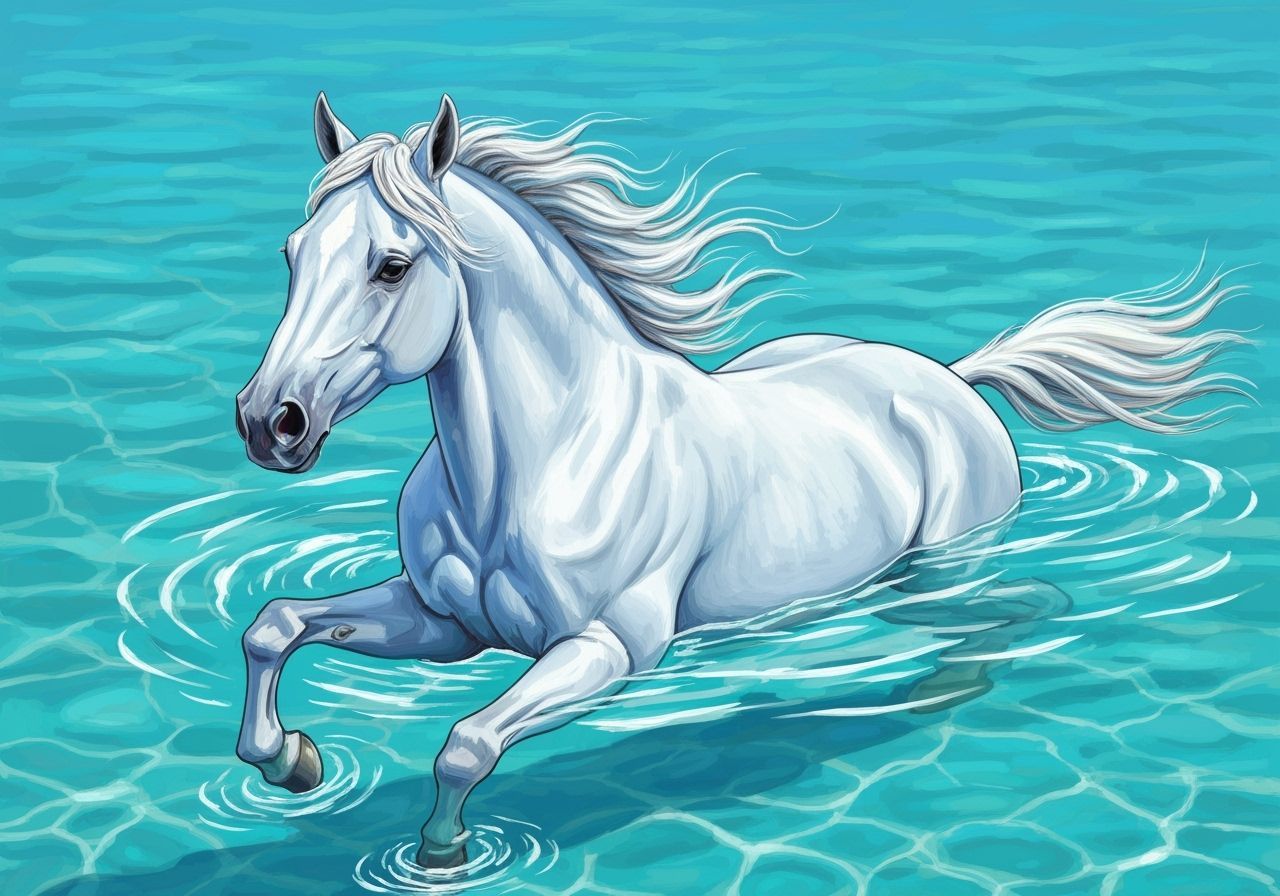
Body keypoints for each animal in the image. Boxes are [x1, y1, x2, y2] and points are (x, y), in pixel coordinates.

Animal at [232, 92, 1245, 869]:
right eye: (290, 253)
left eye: (392, 265)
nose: (268, 422)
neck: (537, 462)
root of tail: (954, 378)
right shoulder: (445, 626)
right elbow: (275, 625)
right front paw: (290, 761)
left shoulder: (609, 649)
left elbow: (465, 744)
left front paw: (440, 855)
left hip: (944, 569)